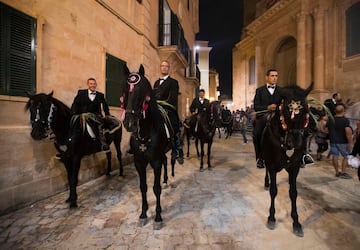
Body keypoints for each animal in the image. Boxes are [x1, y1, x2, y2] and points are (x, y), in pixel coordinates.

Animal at [121, 64, 174, 229]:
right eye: (124, 91)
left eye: (142, 92)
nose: (130, 123)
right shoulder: (139, 162)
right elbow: (143, 187)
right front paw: (143, 214)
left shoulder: (155, 162)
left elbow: (156, 189)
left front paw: (157, 217)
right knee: (165, 161)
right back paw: (165, 180)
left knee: (168, 162)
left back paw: (167, 181)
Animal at [262, 83, 312, 237]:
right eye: (284, 110)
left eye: (306, 110)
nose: (294, 142)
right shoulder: (272, 165)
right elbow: (273, 190)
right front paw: (271, 218)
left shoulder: (294, 168)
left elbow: (293, 193)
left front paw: (296, 222)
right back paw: (266, 181)